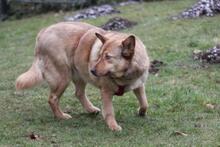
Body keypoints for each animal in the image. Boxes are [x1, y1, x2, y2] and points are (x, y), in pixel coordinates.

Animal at [15, 22, 150, 131]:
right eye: (100, 55)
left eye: (107, 57)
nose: (92, 70)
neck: (125, 76)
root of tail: (43, 32)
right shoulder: (106, 92)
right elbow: (109, 112)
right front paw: (113, 126)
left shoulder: (139, 85)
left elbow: (145, 103)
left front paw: (141, 112)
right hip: (63, 78)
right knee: (53, 99)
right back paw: (61, 116)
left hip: (79, 75)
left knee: (78, 93)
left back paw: (90, 109)